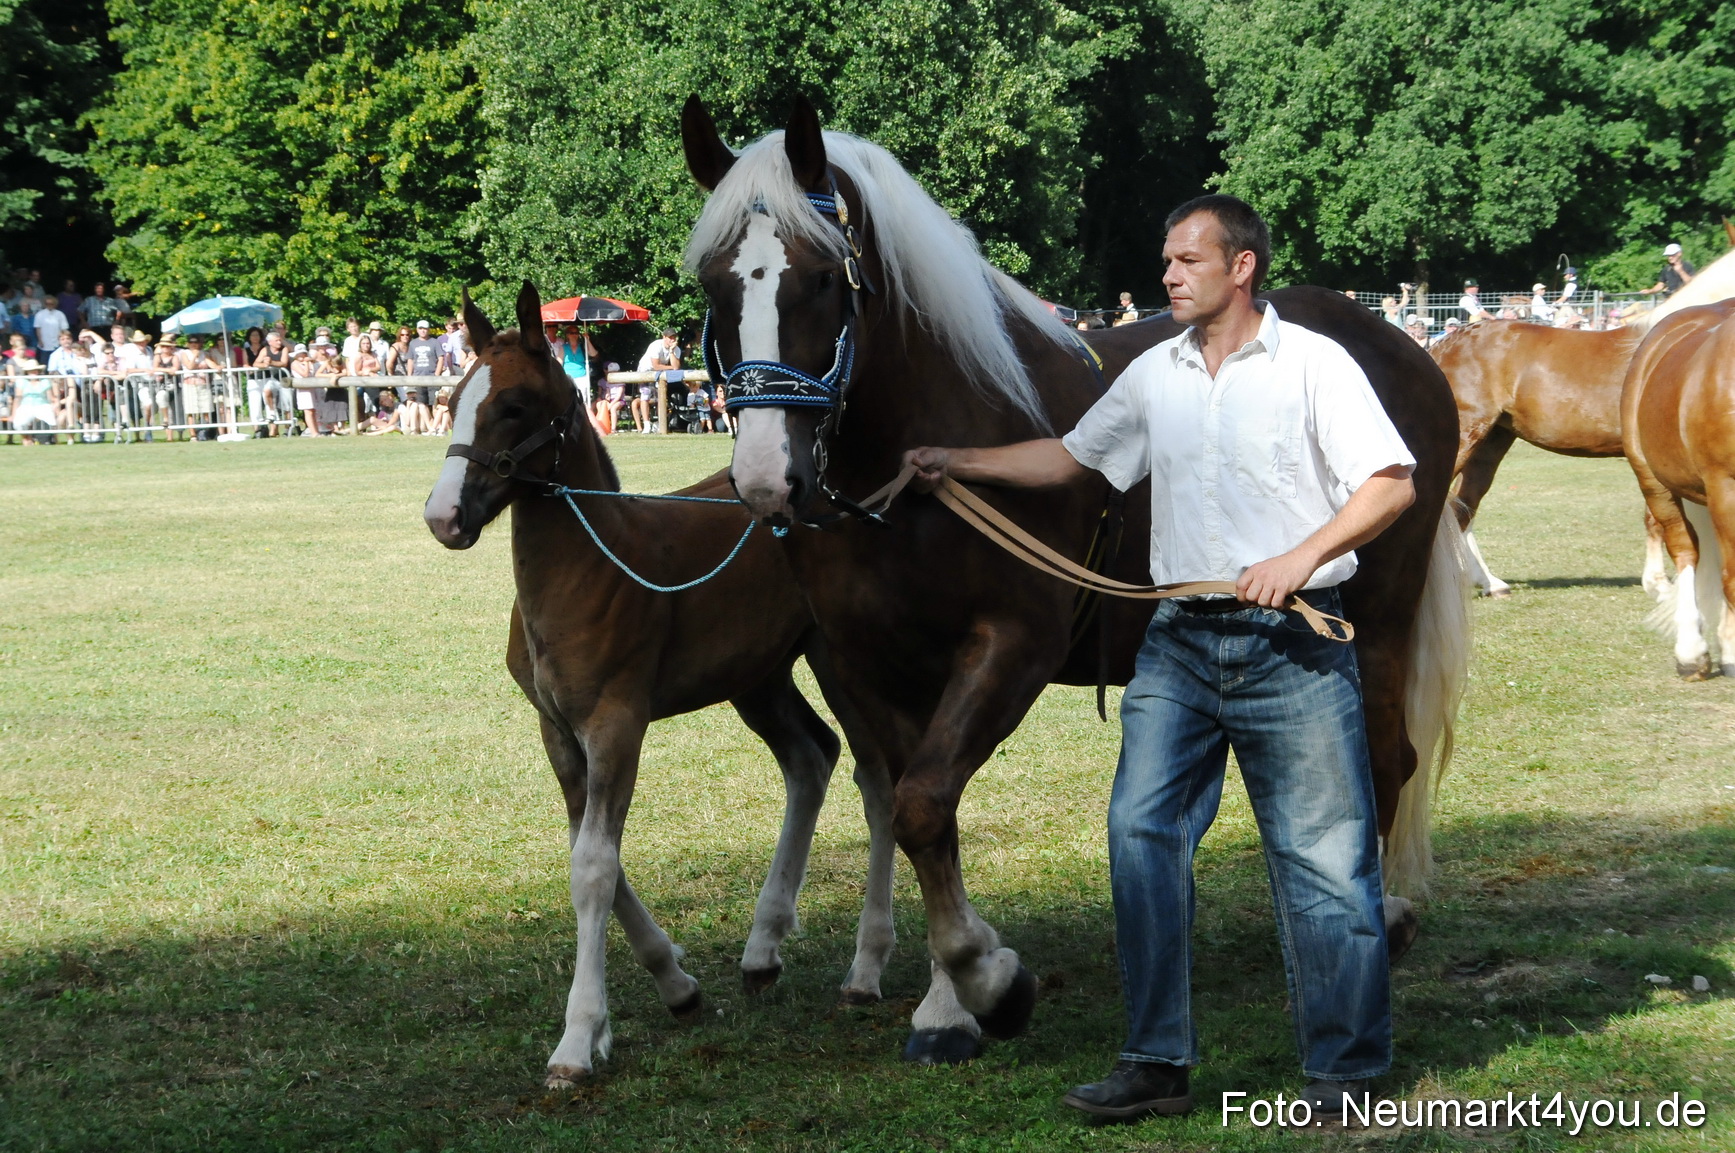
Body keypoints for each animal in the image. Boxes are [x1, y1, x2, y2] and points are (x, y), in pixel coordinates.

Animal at [422, 283, 899, 1087]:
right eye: (453, 398)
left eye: (513, 406)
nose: (444, 516)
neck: (590, 566)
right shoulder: (558, 731)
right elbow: (594, 854)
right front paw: (676, 982)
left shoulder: (617, 721)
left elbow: (592, 865)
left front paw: (577, 1041)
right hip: (757, 678)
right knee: (811, 757)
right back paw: (763, 948)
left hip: (837, 662)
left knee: (876, 778)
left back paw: (865, 969)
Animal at [680, 96, 1469, 1064]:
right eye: (715, 285)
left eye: (823, 280)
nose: (766, 480)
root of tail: (1407, 350)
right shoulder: (873, 666)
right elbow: (916, 811)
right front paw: (948, 1001)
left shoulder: (1010, 646)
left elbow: (922, 804)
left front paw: (988, 981)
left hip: (1379, 619)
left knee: (1385, 759)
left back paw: (1382, 920)